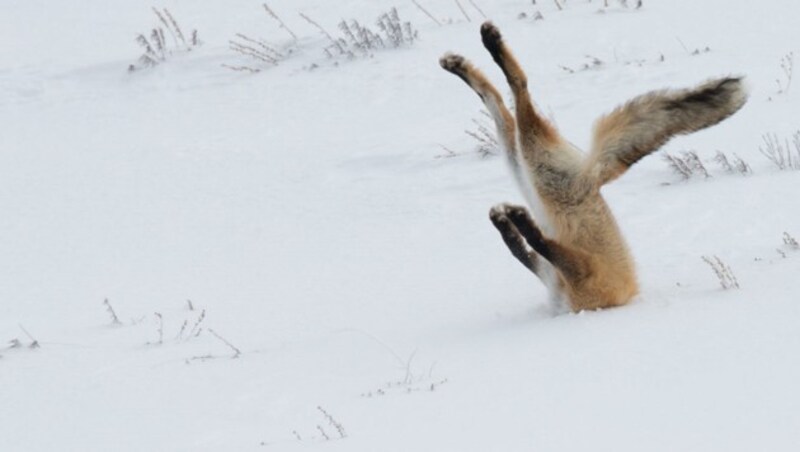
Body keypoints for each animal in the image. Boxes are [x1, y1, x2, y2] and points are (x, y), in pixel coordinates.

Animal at [440, 23, 748, 312]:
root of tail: (593, 176)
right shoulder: (558, 274)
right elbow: (521, 249)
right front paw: (507, 222)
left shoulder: (581, 275)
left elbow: (535, 244)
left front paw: (516, 221)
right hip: (525, 166)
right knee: (497, 100)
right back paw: (462, 63)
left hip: (535, 166)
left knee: (518, 89)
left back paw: (489, 46)